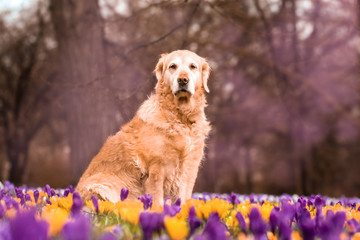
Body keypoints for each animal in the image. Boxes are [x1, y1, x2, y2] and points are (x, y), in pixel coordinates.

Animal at [76, 49, 211, 205]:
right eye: (173, 66)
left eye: (193, 66)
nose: (183, 80)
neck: (180, 117)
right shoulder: (156, 169)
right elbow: (157, 201)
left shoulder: (189, 169)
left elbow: (183, 200)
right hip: (103, 187)